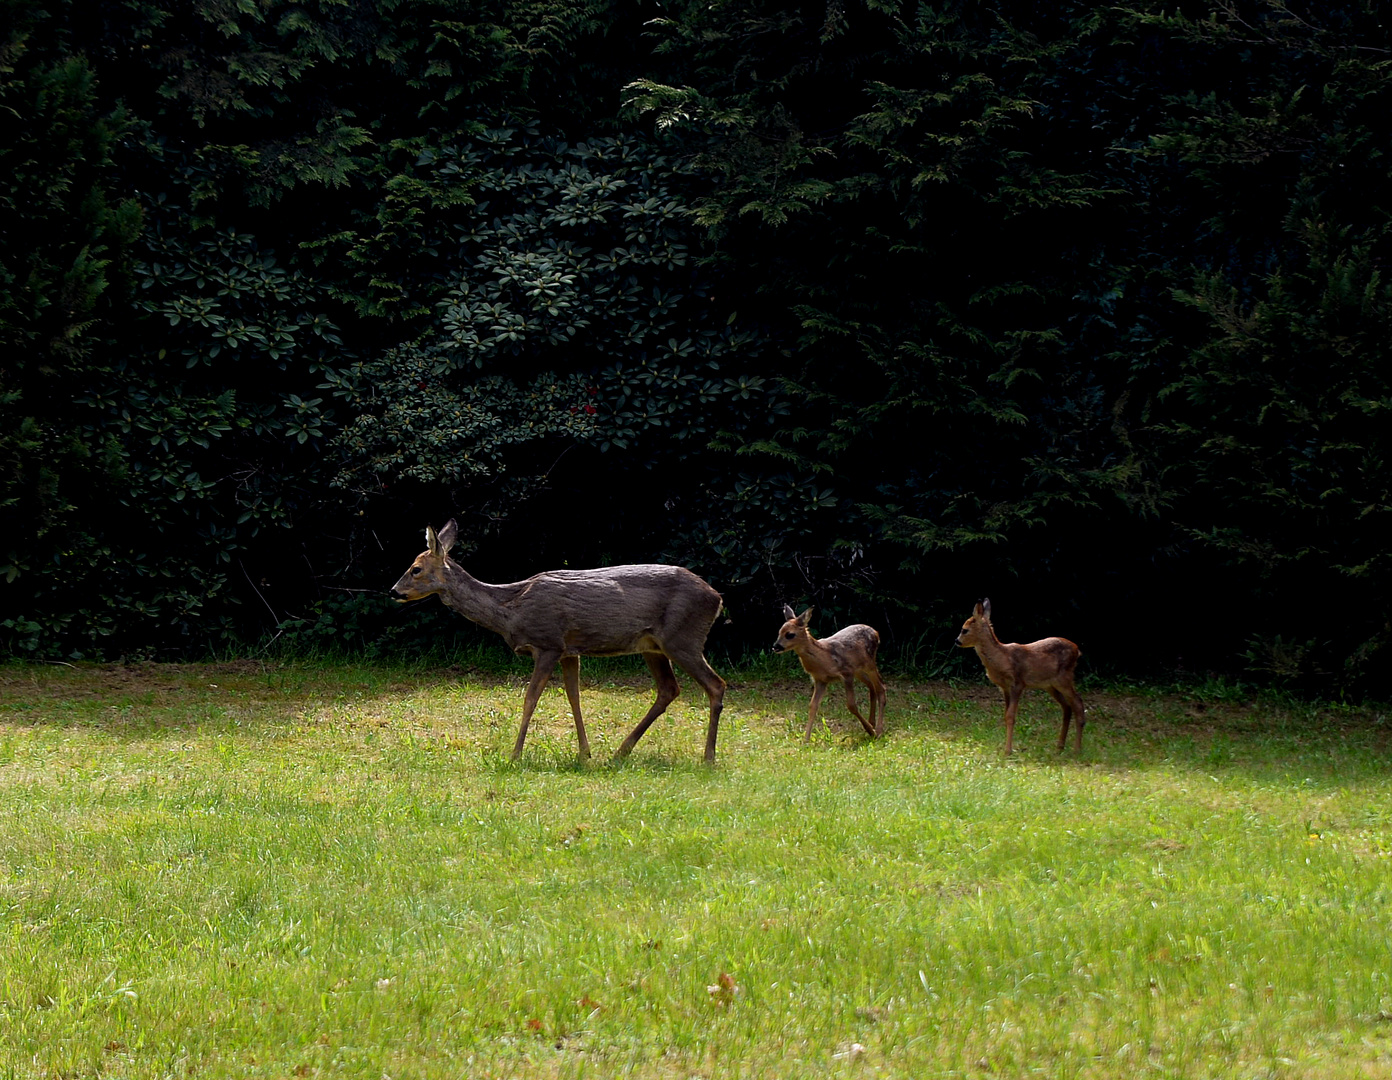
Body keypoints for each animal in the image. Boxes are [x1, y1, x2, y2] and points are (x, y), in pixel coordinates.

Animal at [386, 520, 723, 757]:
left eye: (415, 569)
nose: (393, 591)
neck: (511, 609)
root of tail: (717, 599)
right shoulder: (569, 650)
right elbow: (574, 696)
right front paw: (585, 753)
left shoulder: (548, 643)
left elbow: (530, 699)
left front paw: (515, 754)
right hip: (653, 646)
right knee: (668, 689)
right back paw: (620, 752)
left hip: (683, 637)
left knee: (715, 684)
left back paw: (707, 757)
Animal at [773, 604, 879, 745]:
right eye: (779, 632)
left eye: (790, 634)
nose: (775, 647)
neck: (825, 658)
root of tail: (875, 632)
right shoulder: (821, 680)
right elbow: (812, 706)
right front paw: (805, 740)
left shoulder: (847, 674)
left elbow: (851, 705)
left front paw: (871, 731)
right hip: (859, 670)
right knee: (872, 687)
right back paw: (873, 722)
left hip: (868, 664)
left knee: (879, 687)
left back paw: (876, 728)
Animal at [957, 595, 1085, 757]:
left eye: (964, 630)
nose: (956, 641)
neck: (1002, 658)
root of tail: (1077, 650)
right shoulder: (1004, 688)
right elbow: (1005, 714)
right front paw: (1006, 747)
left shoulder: (1017, 683)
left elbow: (1011, 716)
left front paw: (1008, 750)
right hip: (1050, 685)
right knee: (1067, 707)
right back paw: (1059, 746)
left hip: (1064, 678)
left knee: (1078, 703)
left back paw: (1076, 749)